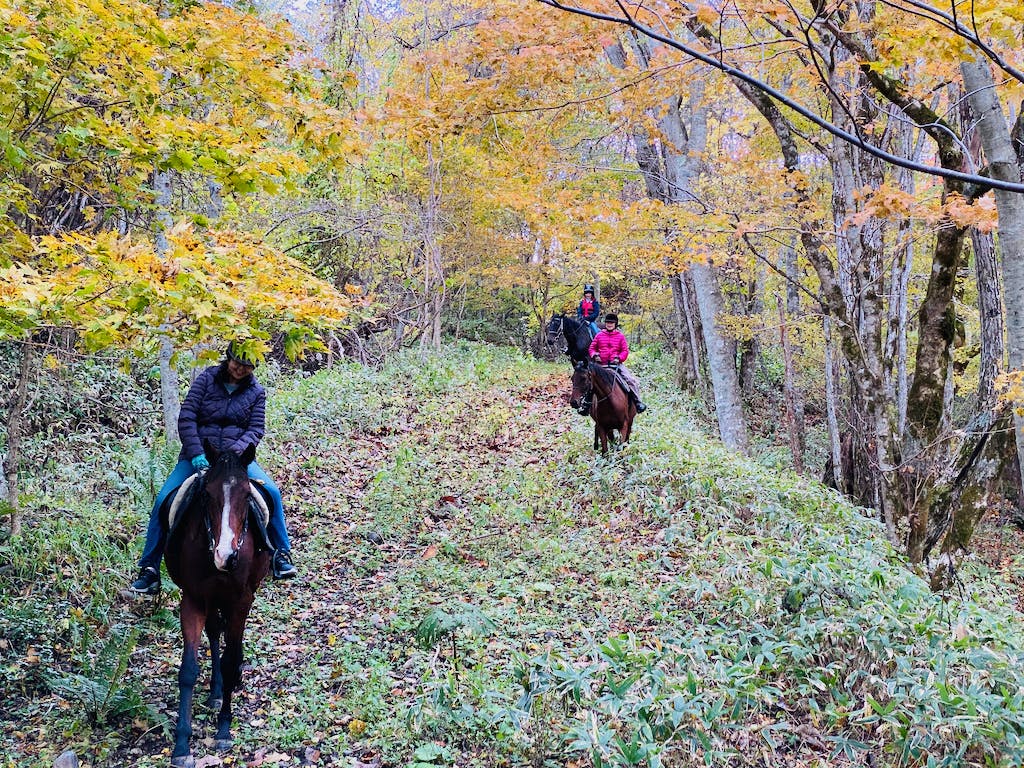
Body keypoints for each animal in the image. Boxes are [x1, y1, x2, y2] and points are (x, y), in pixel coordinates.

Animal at [162, 442, 270, 765]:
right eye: (207, 494)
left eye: (246, 495)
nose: (226, 556)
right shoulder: (193, 599)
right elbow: (188, 670)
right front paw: (182, 746)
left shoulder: (240, 599)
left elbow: (231, 658)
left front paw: (223, 729)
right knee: (214, 631)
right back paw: (216, 690)